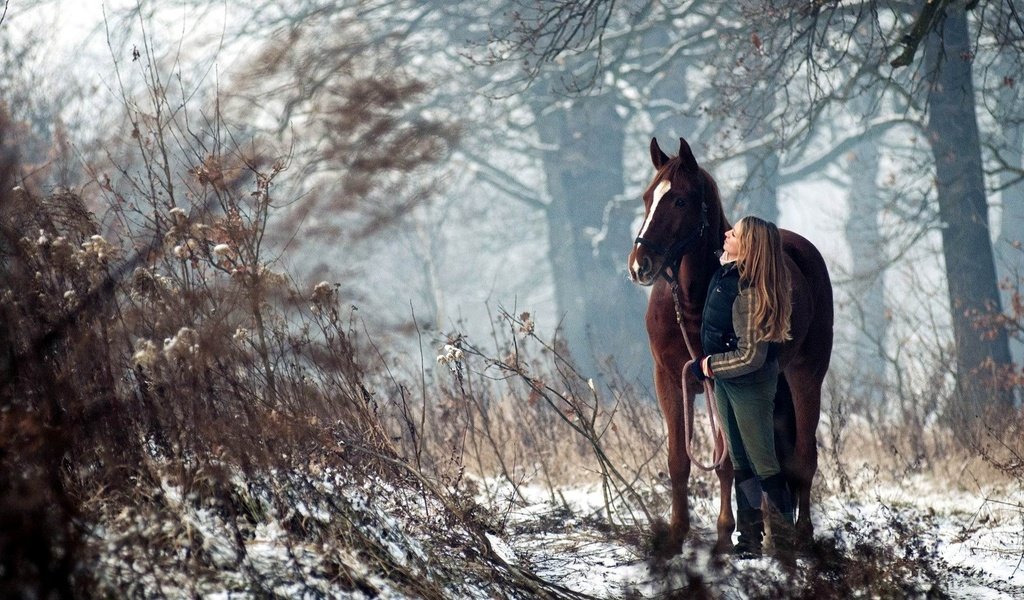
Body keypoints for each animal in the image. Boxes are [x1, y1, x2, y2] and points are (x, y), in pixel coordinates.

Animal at [626, 135, 835, 552]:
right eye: (647, 198)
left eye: (680, 201)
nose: (640, 265)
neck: (694, 301)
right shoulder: (670, 381)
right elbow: (679, 460)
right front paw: (676, 535)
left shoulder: (718, 381)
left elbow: (725, 463)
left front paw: (724, 534)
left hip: (806, 375)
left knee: (803, 457)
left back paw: (800, 537)